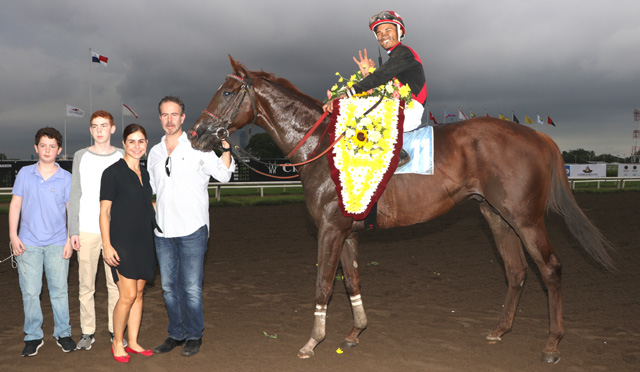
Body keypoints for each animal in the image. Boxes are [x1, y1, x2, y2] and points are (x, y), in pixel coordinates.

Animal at [188, 56, 612, 362]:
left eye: (227, 92)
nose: (196, 134)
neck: (323, 147)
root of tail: (538, 136)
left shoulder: (330, 228)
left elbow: (324, 283)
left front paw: (313, 341)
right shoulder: (346, 231)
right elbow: (352, 280)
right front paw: (355, 332)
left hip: (525, 218)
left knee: (550, 269)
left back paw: (553, 343)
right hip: (496, 215)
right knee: (517, 271)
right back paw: (500, 330)